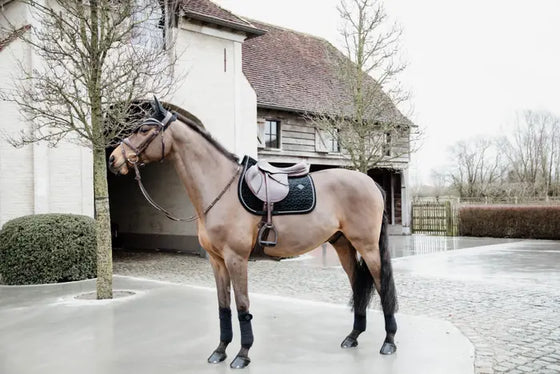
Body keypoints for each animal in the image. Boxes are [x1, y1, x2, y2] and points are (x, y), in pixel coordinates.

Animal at [108, 98, 398, 368]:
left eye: (144, 129)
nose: (113, 159)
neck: (219, 189)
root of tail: (370, 182)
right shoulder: (217, 261)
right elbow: (224, 306)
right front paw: (220, 350)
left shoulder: (236, 258)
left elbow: (242, 304)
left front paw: (242, 354)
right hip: (343, 245)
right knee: (358, 284)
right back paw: (353, 336)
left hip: (368, 247)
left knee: (382, 286)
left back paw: (389, 342)